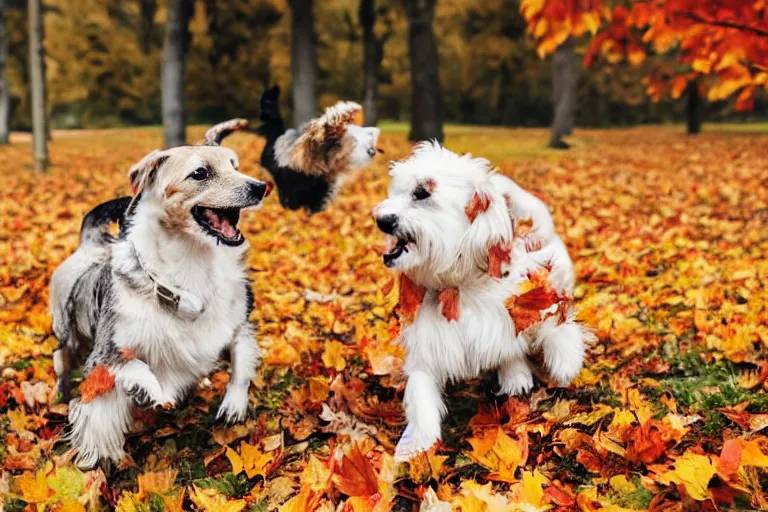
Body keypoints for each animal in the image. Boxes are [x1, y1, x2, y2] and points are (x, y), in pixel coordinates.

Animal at [49, 121, 268, 468]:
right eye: (200, 173)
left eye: (234, 166)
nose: (260, 187)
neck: (193, 265)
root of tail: (90, 243)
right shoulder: (107, 353)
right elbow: (127, 374)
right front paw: (147, 391)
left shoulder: (237, 323)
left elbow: (241, 359)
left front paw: (233, 403)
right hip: (65, 332)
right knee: (62, 358)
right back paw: (61, 392)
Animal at [372, 141, 592, 460]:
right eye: (397, 190)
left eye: (422, 192)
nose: (381, 220)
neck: (458, 287)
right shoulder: (427, 348)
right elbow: (422, 398)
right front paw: (417, 447)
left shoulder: (527, 301)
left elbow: (554, 326)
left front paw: (564, 362)